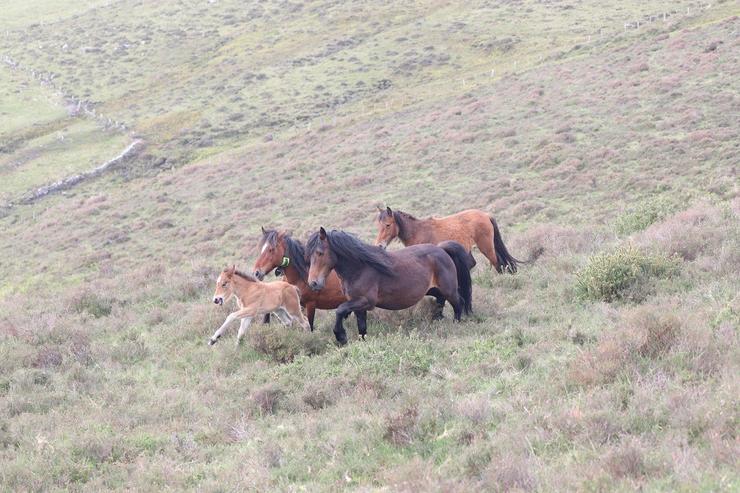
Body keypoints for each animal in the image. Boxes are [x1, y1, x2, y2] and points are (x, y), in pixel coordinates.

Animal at [308, 229, 474, 344]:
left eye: (320, 253)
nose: (313, 283)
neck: (360, 269)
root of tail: (441, 249)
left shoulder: (366, 302)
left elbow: (340, 310)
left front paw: (341, 336)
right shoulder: (358, 306)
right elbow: (361, 327)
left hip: (449, 290)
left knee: (459, 303)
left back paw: (456, 324)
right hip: (434, 290)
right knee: (441, 302)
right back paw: (437, 321)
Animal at [372, 205, 524, 270]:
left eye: (387, 225)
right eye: (378, 225)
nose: (379, 246)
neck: (418, 231)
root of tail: (486, 215)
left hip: (486, 247)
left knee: (497, 263)